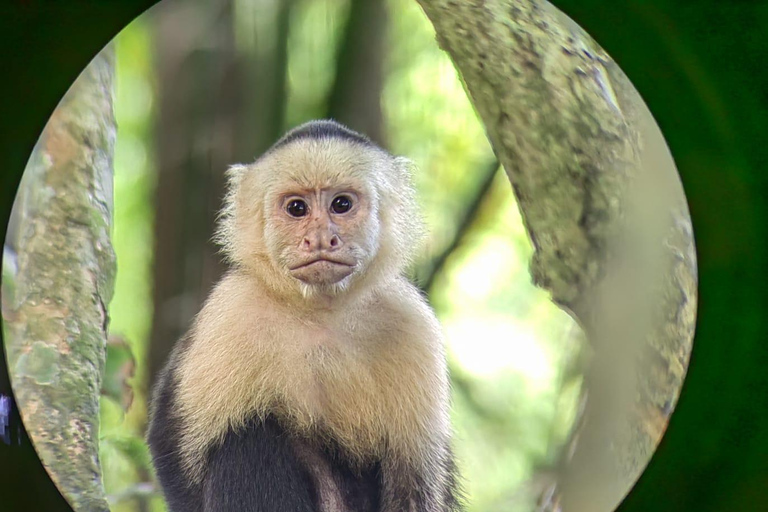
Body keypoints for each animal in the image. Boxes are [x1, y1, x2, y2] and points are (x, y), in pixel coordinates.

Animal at [148, 121, 462, 512]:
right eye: (297, 208)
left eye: (341, 204)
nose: (320, 238)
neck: (320, 313)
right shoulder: (231, 308)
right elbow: (173, 447)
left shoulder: (413, 322)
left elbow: (416, 483)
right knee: (248, 438)